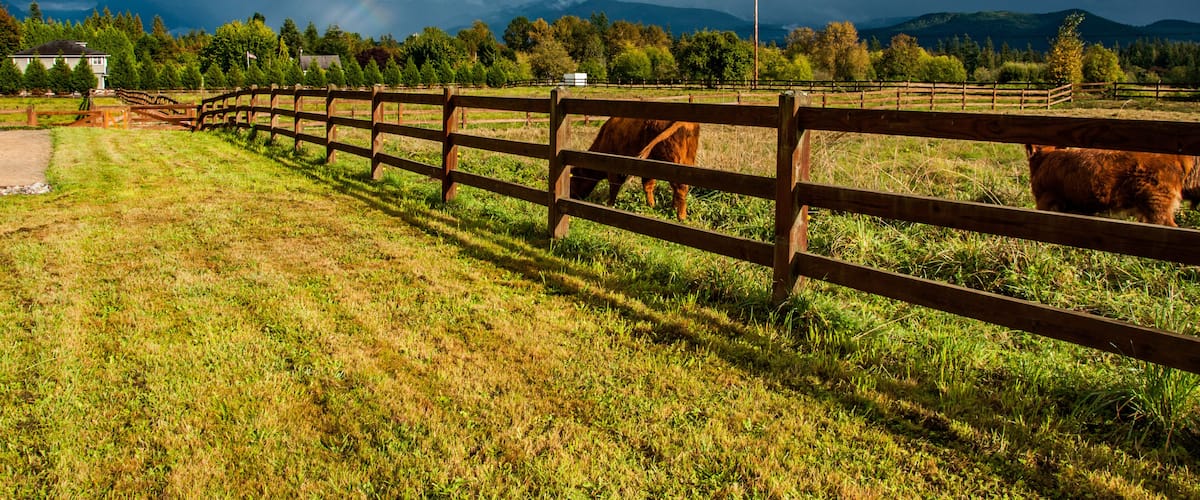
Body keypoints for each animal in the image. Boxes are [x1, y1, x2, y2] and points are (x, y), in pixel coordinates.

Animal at [569, 117, 701, 220]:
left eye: (572, 181)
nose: (571, 195)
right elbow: (648, 186)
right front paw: (651, 205)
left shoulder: (613, 170)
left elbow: (614, 187)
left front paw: (609, 205)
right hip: (687, 161)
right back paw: (673, 208)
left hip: (673, 161)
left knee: (680, 187)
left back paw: (681, 216)